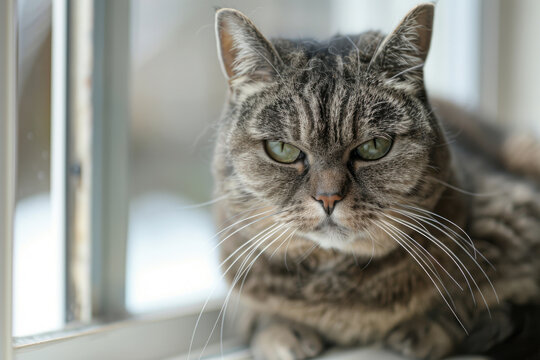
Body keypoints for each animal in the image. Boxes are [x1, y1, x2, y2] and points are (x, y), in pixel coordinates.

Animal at [210, 3, 540, 360]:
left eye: (374, 147)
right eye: (283, 150)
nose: (328, 198)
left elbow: (468, 303)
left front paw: (423, 329)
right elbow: (255, 315)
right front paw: (281, 330)